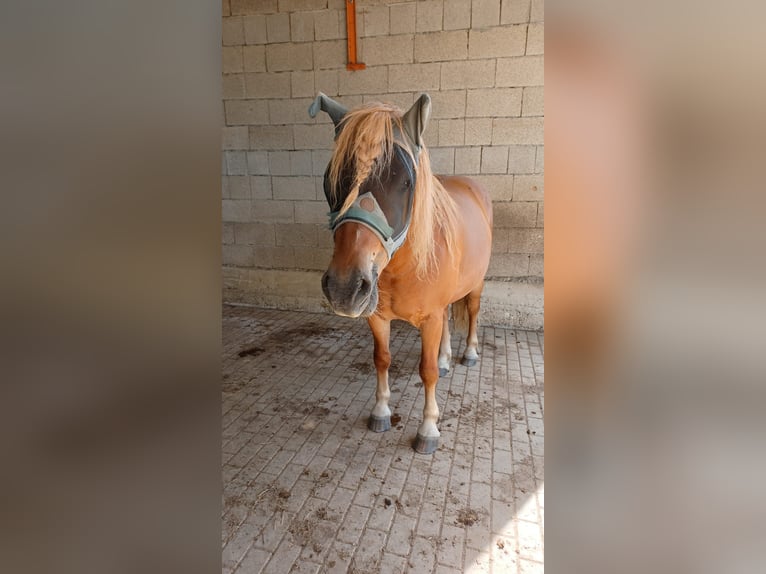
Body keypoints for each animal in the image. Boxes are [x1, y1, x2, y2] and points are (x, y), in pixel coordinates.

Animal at [308, 93, 496, 454]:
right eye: (330, 180)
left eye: (405, 182)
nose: (344, 288)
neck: (401, 267)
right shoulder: (377, 317)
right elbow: (381, 358)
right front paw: (381, 411)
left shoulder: (430, 319)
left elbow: (427, 371)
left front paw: (428, 429)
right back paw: (447, 358)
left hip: (477, 284)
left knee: (472, 312)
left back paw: (468, 354)